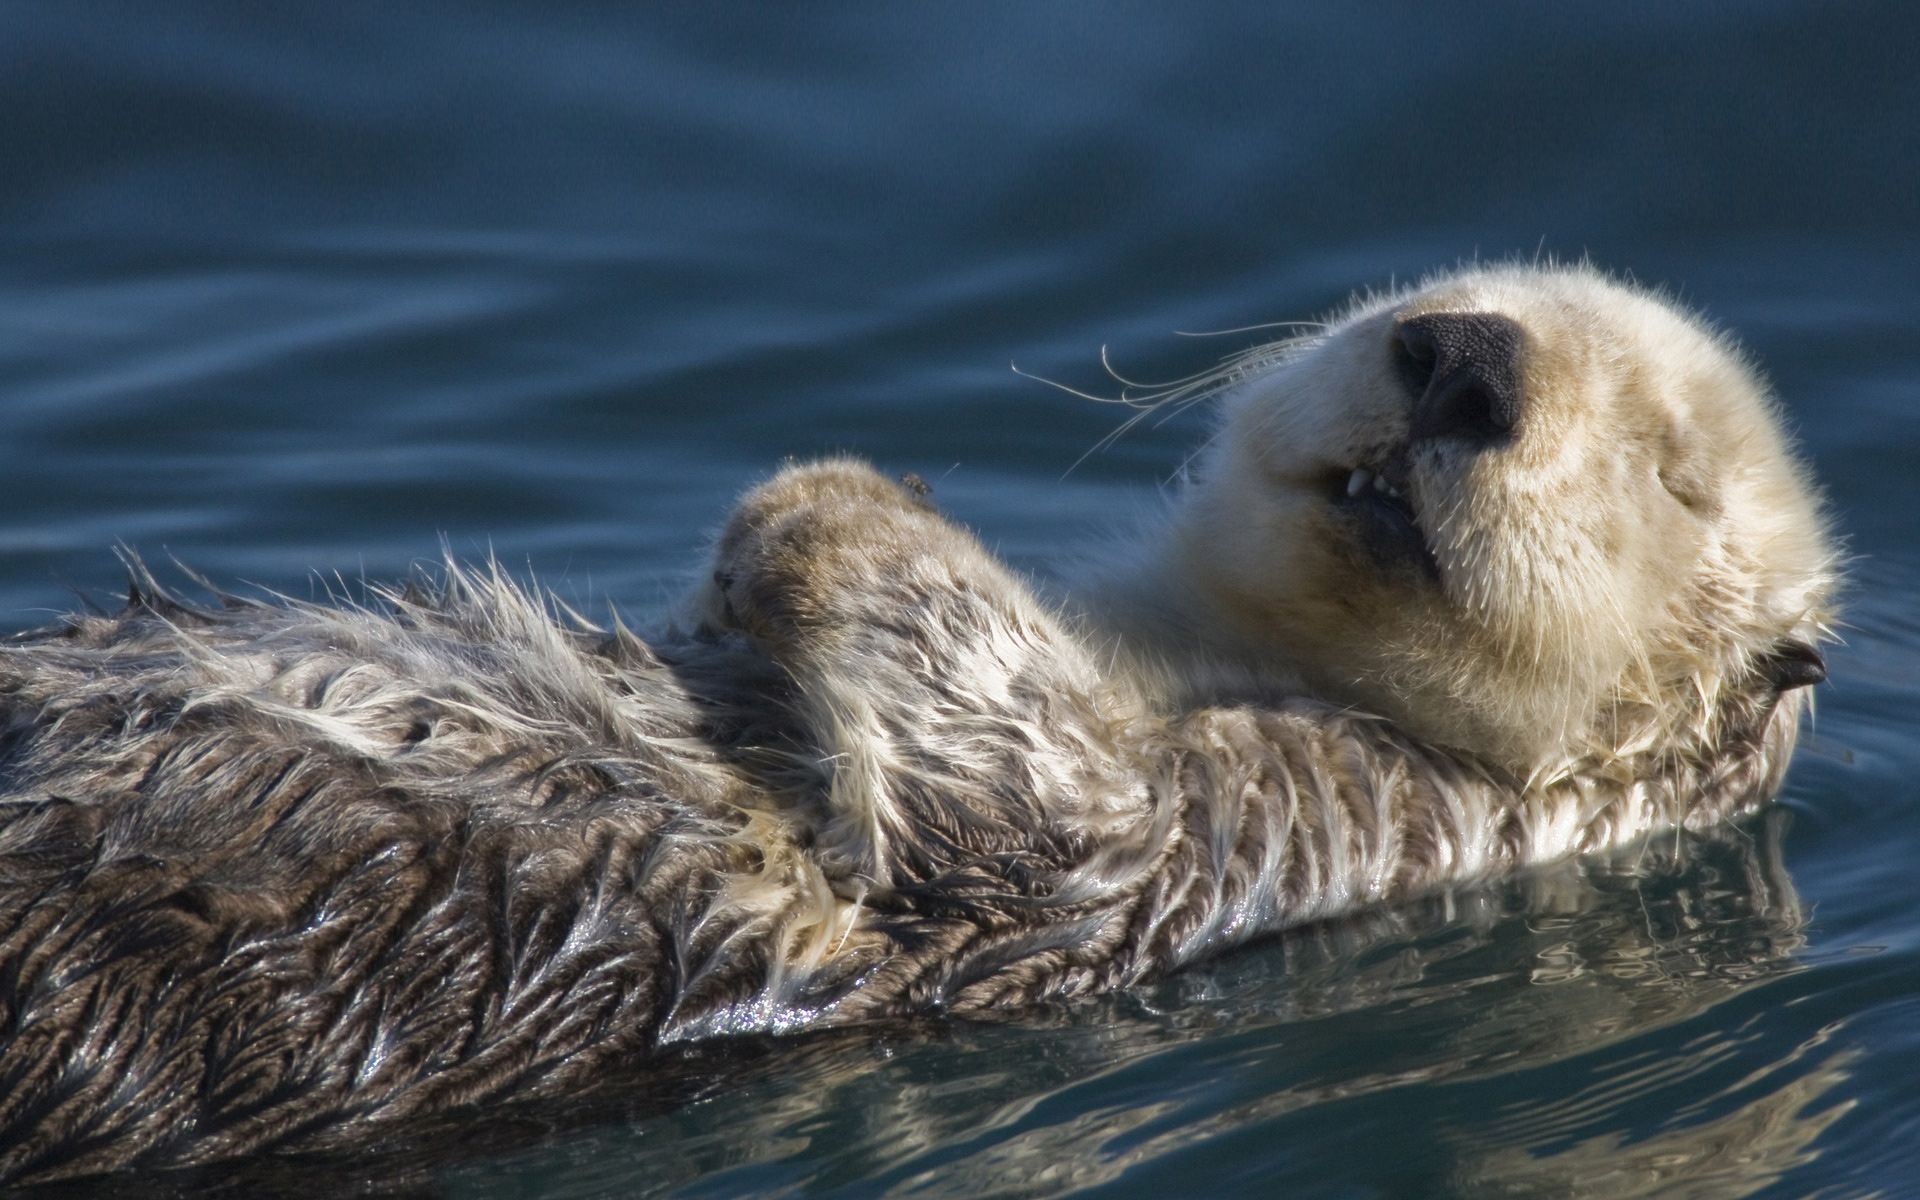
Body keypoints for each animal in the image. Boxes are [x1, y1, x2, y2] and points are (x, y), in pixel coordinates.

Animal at [0, 264, 1827, 1182]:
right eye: (1446, 291)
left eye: (1673, 473)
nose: (1462, 360)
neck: (1195, 647)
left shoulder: (1298, 823)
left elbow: (1024, 801)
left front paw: (821, 503)